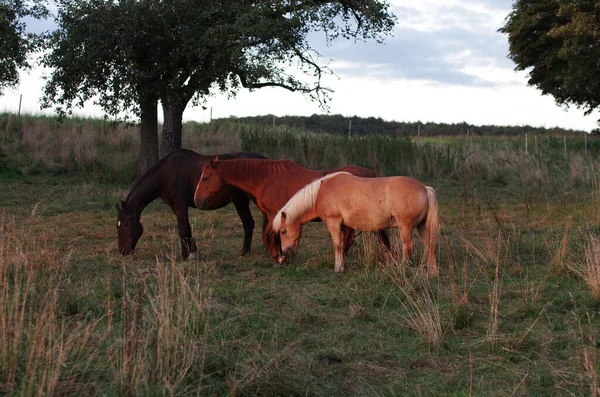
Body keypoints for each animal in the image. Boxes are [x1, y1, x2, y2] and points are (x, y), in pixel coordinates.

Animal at [116, 148, 266, 256]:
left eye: (125, 224)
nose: (123, 252)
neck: (165, 174)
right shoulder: (175, 207)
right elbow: (186, 229)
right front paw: (192, 251)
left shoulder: (180, 205)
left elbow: (183, 230)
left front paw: (184, 256)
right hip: (240, 200)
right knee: (250, 222)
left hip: (244, 200)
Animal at [192, 156, 390, 262]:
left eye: (206, 177)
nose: (197, 200)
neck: (266, 179)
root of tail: (373, 175)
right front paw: (280, 255)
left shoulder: (274, 214)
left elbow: (271, 236)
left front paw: (279, 256)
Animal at [274, 172, 438, 276]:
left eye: (283, 231)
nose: (282, 256)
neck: (321, 191)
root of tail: (425, 189)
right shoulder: (345, 226)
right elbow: (343, 245)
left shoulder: (334, 222)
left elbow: (337, 245)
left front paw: (338, 268)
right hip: (422, 227)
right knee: (430, 245)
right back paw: (432, 272)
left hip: (405, 228)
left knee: (408, 247)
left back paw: (401, 269)